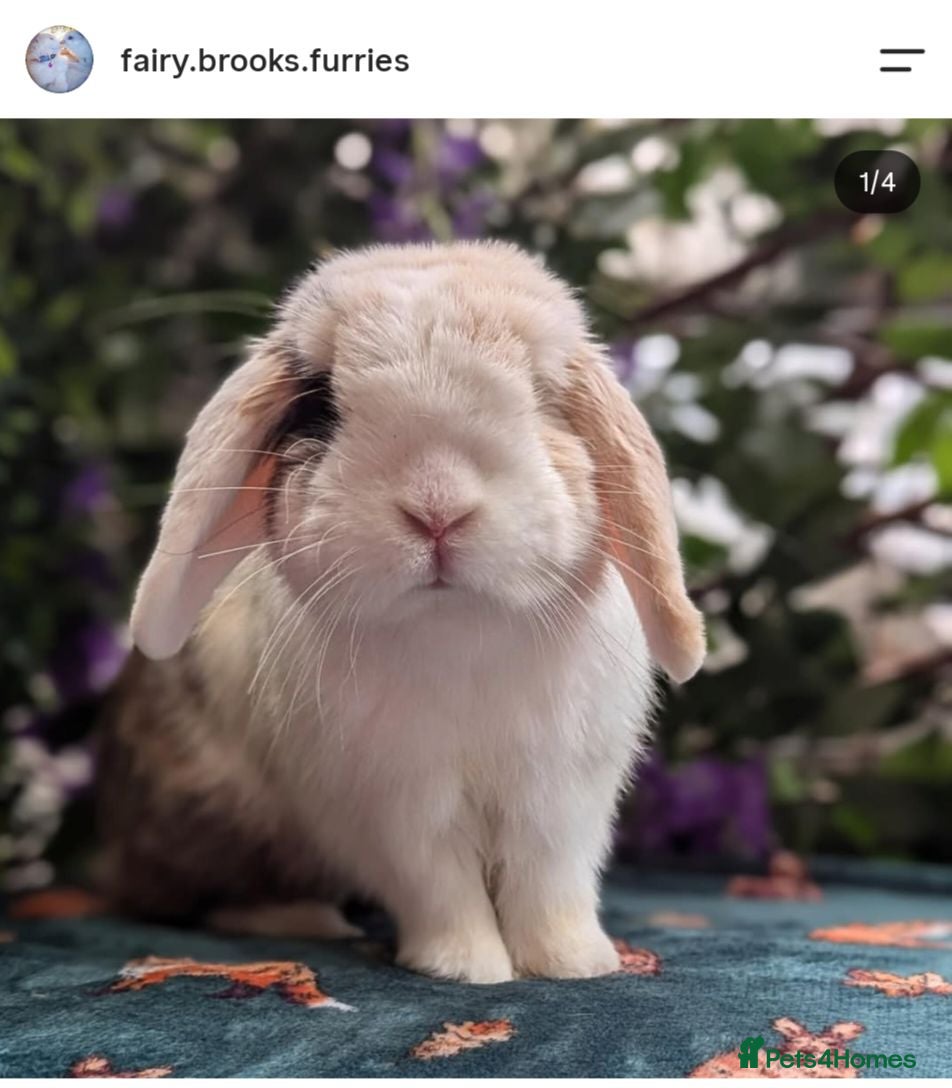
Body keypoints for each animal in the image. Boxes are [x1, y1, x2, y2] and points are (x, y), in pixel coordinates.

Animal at [97, 241, 705, 983]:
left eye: (540, 395)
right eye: (321, 404)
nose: (437, 508)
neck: (457, 633)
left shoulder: (562, 797)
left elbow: (550, 884)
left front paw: (576, 963)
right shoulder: (395, 812)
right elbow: (440, 889)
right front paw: (469, 968)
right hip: (209, 817)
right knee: (194, 900)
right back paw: (303, 920)